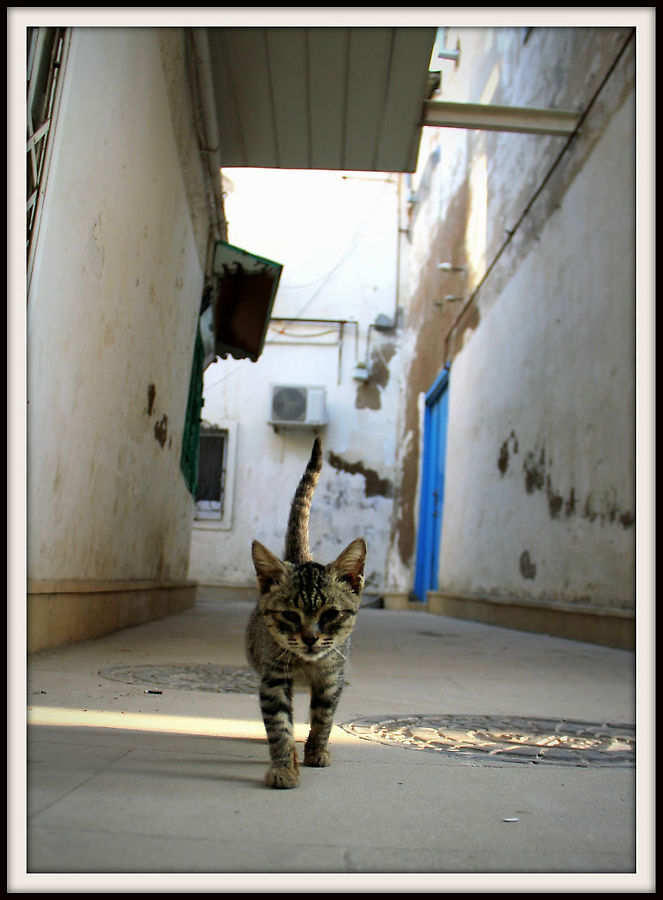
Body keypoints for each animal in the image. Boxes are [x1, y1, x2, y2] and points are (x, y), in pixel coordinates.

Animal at [246, 438, 366, 788]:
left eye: (330, 614)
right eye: (290, 615)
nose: (311, 638)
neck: (305, 664)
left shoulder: (332, 675)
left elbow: (324, 716)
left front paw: (317, 750)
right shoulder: (273, 678)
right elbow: (279, 726)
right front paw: (284, 766)